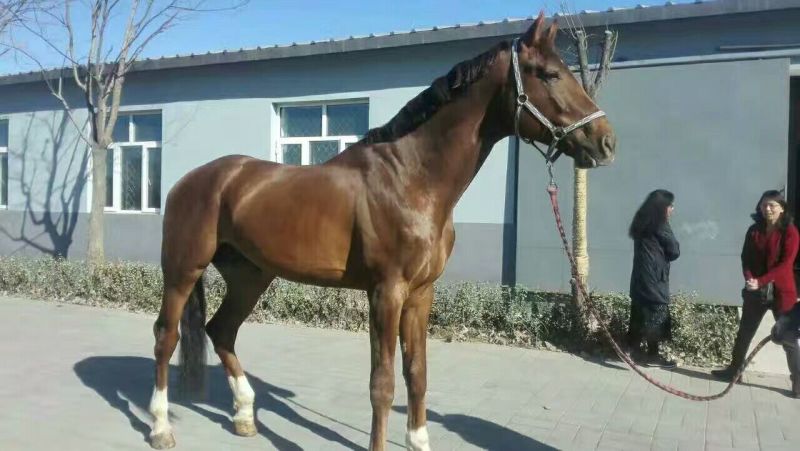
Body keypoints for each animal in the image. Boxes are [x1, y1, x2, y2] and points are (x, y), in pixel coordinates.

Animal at [147, 11, 616, 451]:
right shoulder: (385, 292)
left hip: (250, 275)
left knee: (221, 331)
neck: (411, 178)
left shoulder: (421, 294)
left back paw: (245, 416)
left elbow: (417, 374)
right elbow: (383, 383)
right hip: (183, 271)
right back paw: (160, 427)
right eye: (550, 74)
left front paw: (420, 441)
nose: (606, 142)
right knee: (166, 337)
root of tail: (190, 179)